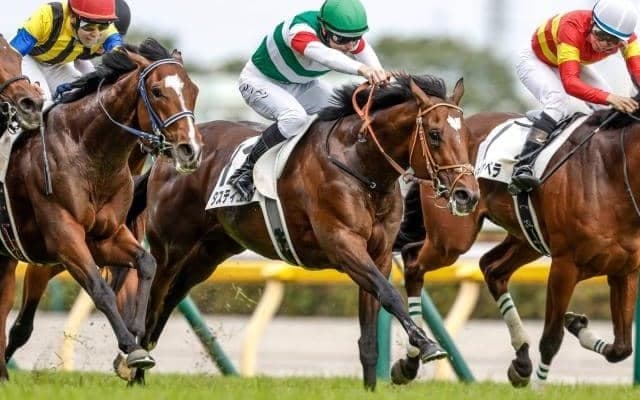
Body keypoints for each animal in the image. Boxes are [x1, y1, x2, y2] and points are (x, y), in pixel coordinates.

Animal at [0, 38, 203, 381]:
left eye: (194, 90)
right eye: (157, 91)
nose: (190, 150)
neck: (89, 154)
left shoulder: (103, 237)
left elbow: (146, 263)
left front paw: (135, 336)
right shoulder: (65, 237)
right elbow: (99, 288)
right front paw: (132, 349)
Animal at [111, 73, 480, 390]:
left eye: (465, 136)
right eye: (435, 135)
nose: (468, 194)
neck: (361, 165)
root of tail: (170, 153)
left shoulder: (379, 255)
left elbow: (370, 335)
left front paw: (381, 381)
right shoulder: (343, 245)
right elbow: (390, 295)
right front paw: (426, 347)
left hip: (211, 251)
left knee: (173, 297)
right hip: (171, 246)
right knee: (156, 298)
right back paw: (136, 370)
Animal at [390, 109, 640, 387]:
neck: (611, 174)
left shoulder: (625, 270)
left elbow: (622, 348)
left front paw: (577, 325)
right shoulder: (565, 266)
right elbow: (551, 339)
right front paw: (539, 388)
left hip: (527, 238)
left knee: (491, 268)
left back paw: (521, 359)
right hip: (452, 239)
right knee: (414, 263)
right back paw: (412, 360)